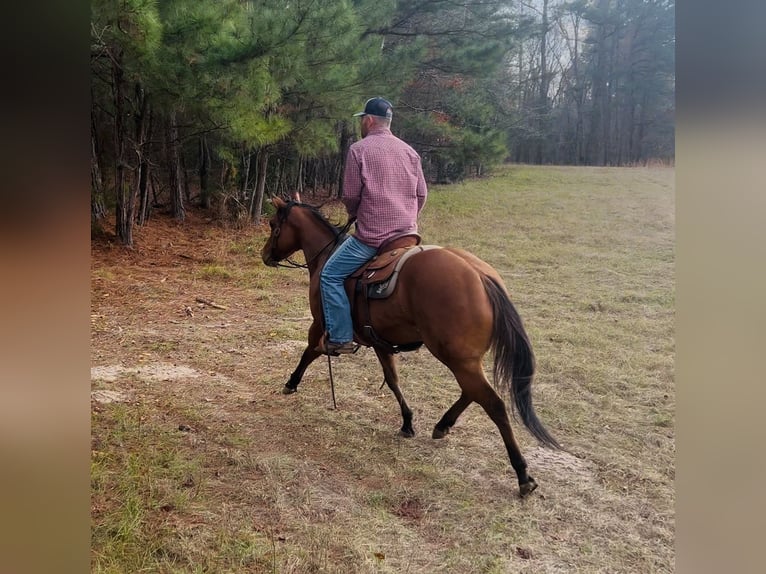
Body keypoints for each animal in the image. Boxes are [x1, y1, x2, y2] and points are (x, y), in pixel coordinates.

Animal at [262, 197, 560, 496]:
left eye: (274, 224)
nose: (265, 255)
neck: (327, 256)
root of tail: (480, 276)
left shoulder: (319, 324)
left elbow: (308, 352)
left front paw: (291, 383)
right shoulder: (380, 342)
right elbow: (392, 380)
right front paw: (407, 422)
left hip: (456, 358)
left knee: (493, 404)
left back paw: (522, 474)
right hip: (465, 359)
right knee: (472, 392)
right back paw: (443, 425)